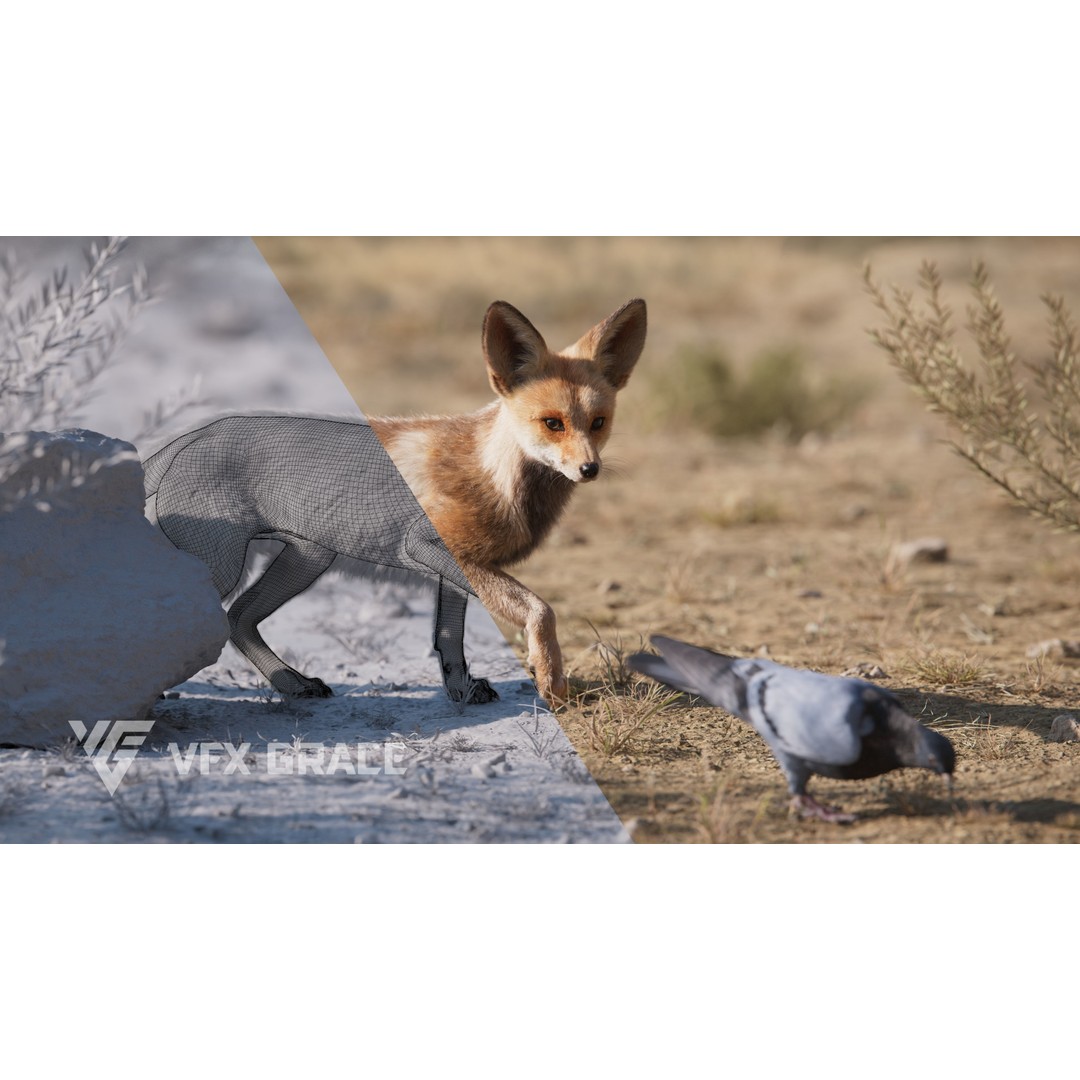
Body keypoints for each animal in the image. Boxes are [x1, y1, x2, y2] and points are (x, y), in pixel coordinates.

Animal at [141, 298, 645, 708]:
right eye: (552, 423)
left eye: (598, 423)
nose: (589, 469)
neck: (496, 475)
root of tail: (193, 434)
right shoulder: (433, 548)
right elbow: (540, 609)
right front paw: (551, 681)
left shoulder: (455, 571)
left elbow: (449, 640)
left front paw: (461, 692)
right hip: (225, 566)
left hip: (307, 561)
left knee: (239, 620)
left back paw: (291, 683)